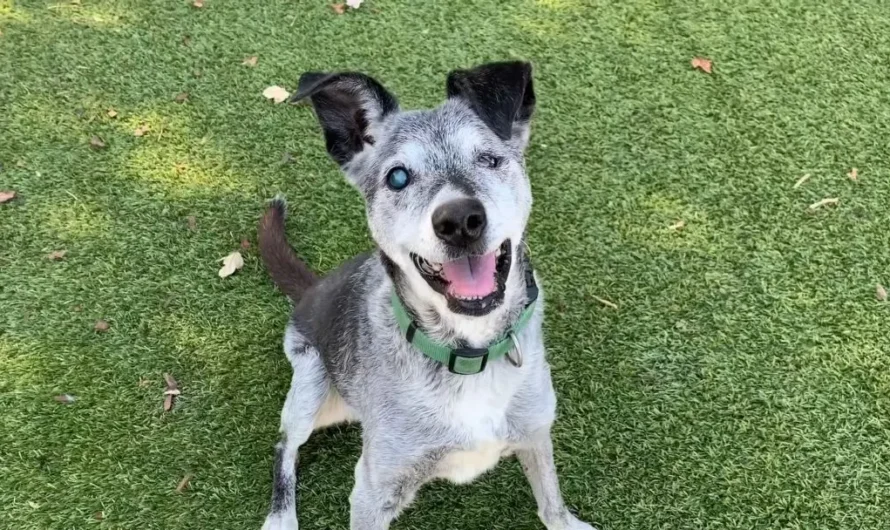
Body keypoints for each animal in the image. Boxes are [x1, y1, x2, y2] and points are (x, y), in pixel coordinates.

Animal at [253, 60, 592, 528]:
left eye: (490, 159)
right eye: (398, 177)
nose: (460, 220)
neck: (468, 353)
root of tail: (312, 288)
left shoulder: (536, 432)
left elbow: (551, 502)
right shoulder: (372, 492)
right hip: (311, 388)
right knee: (285, 445)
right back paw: (280, 517)